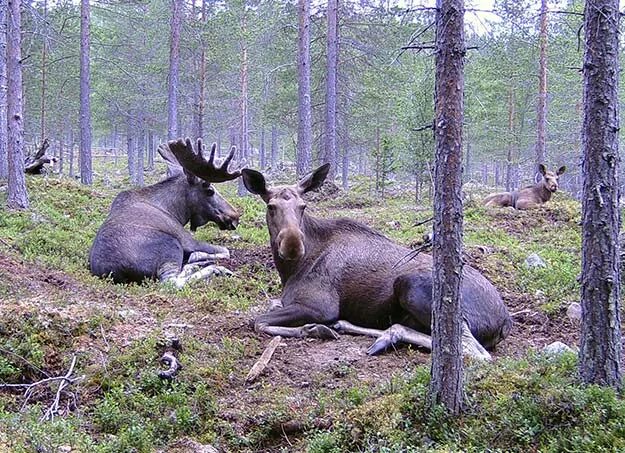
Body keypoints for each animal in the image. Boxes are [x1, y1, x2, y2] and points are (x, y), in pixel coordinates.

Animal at [89, 138, 240, 286]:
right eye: (209, 190)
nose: (235, 216)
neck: (175, 211)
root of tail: (116, 271)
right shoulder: (187, 239)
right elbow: (226, 251)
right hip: (171, 245)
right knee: (171, 282)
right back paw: (215, 268)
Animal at [241, 164, 510, 358]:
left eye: (303, 206)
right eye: (271, 206)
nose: (293, 245)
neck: (290, 270)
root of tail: (506, 319)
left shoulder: (320, 306)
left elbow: (258, 322)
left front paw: (314, 328)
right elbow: (269, 309)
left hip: (411, 284)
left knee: (473, 350)